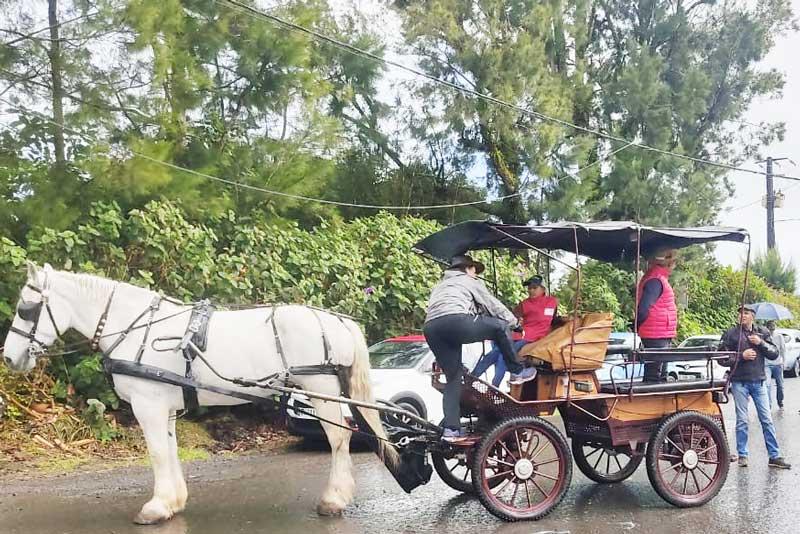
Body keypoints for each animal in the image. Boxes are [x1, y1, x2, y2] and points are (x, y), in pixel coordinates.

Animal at [1, 266, 398, 524]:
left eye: (25, 308)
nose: (9, 357)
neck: (137, 328)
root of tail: (334, 320)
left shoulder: (148, 405)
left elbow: (157, 453)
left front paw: (156, 507)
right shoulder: (166, 407)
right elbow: (170, 450)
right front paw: (173, 501)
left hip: (321, 389)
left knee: (338, 438)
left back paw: (334, 499)